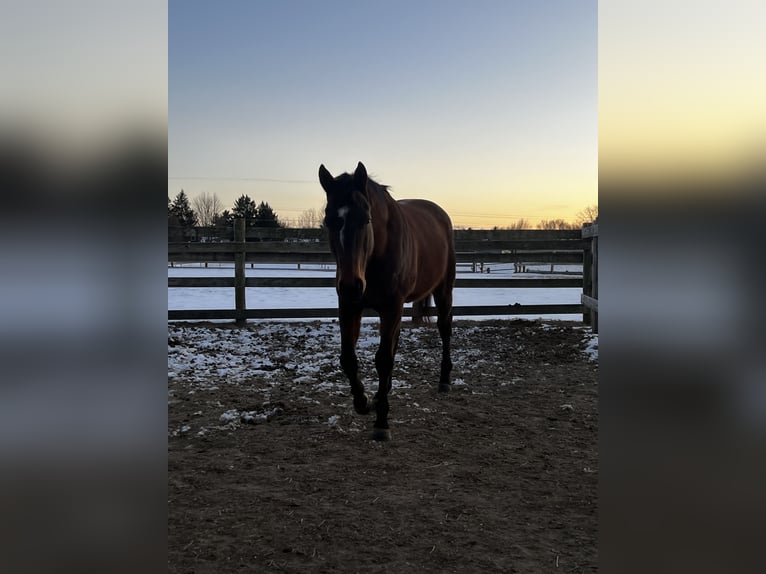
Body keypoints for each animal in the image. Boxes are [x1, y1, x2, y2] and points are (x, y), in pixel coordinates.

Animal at [318, 164, 456, 444]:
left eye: (365, 219)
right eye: (329, 221)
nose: (351, 286)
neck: (376, 254)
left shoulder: (391, 307)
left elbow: (383, 360)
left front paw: (382, 421)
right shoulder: (349, 307)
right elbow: (348, 358)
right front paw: (363, 401)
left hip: (443, 290)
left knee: (444, 329)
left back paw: (444, 379)